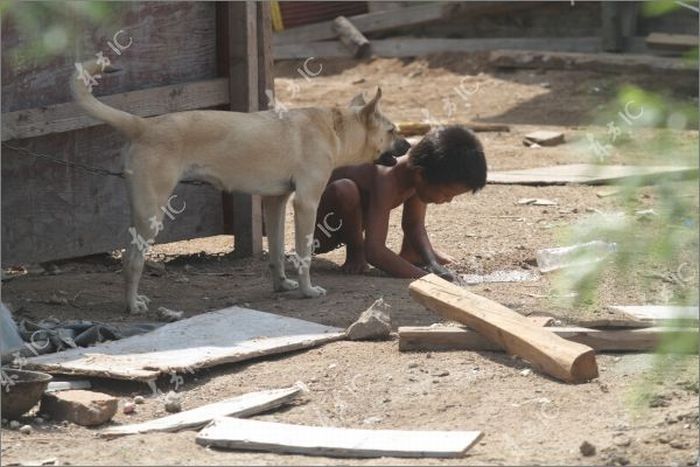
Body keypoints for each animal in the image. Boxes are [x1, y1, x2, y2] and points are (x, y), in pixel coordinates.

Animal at [71, 60, 410, 312]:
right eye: (393, 130)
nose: (409, 145)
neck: (334, 128)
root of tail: (145, 125)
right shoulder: (306, 204)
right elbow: (303, 255)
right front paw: (307, 290)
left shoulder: (276, 202)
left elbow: (277, 252)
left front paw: (282, 285)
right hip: (152, 213)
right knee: (132, 262)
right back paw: (132, 305)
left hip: (140, 211)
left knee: (129, 257)